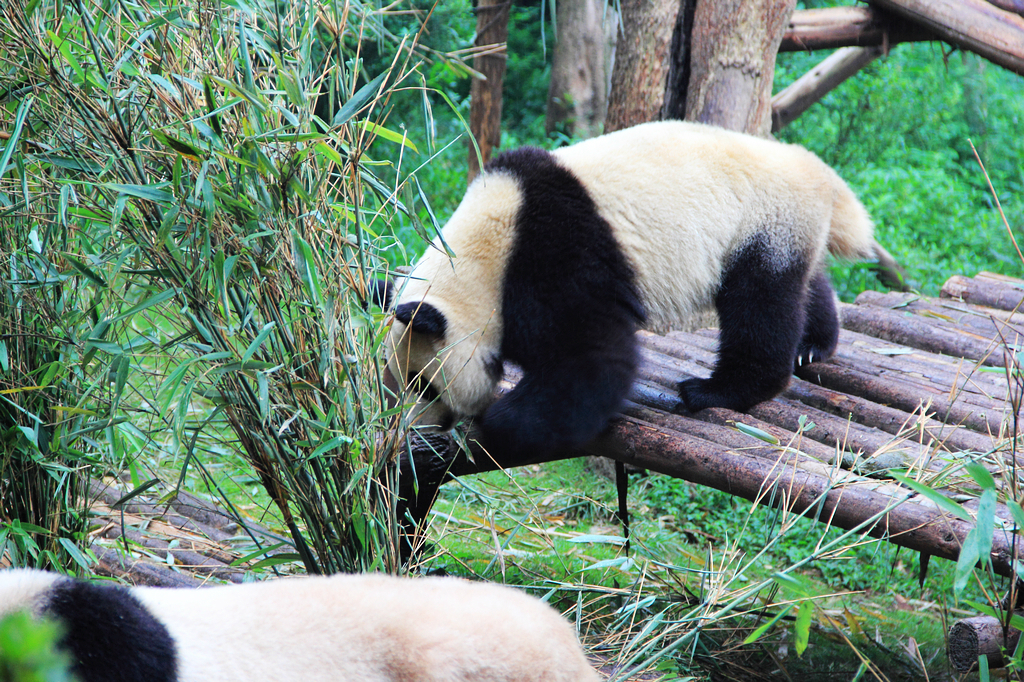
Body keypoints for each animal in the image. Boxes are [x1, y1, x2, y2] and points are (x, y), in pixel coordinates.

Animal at [387, 120, 876, 462]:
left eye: (423, 386)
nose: (415, 432)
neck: (482, 254)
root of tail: (815, 170)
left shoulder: (554, 257)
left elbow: (591, 361)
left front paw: (500, 421)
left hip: (761, 222)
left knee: (759, 307)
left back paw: (715, 390)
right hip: (784, 228)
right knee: (805, 284)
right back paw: (814, 345)